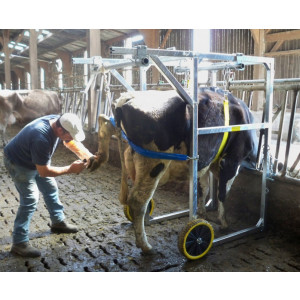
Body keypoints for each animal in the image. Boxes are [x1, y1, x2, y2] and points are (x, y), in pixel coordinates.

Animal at [89, 86, 258, 253]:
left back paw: (98, 159)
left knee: (105, 122)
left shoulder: (205, 161)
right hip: (154, 161)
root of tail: (127, 98)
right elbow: (222, 192)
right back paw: (145, 245)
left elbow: (204, 188)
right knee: (137, 201)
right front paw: (223, 222)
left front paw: (202, 211)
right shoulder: (232, 159)